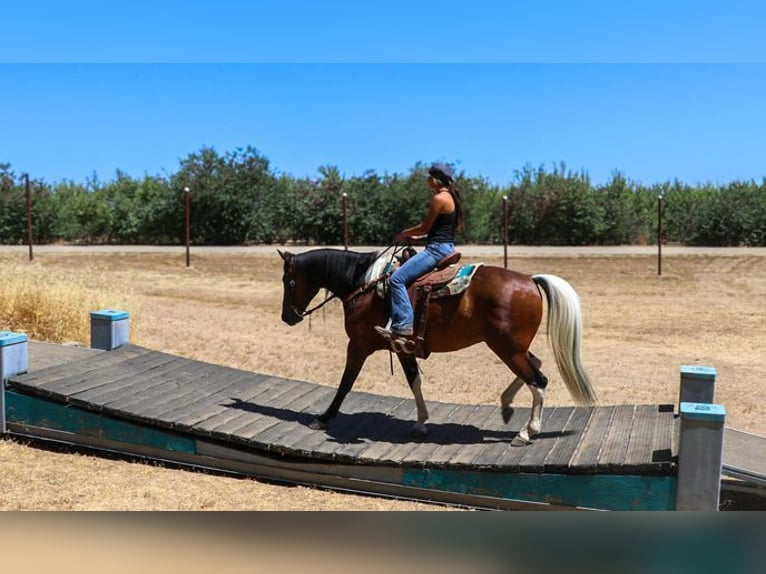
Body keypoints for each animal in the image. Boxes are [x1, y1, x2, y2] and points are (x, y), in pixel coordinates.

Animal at [280, 248, 596, 446]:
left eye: (289, 281)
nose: (288, 317)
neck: (364, 284)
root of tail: (530, 280)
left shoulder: (357, 345)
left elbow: (345, 383)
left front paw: (323, 418)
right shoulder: (402, 348)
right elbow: (414, 382)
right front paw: (421, 423)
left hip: (507, 349)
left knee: (538, 380)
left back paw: (527, 432)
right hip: (513, 348)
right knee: (536, 368)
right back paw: (507, 406)